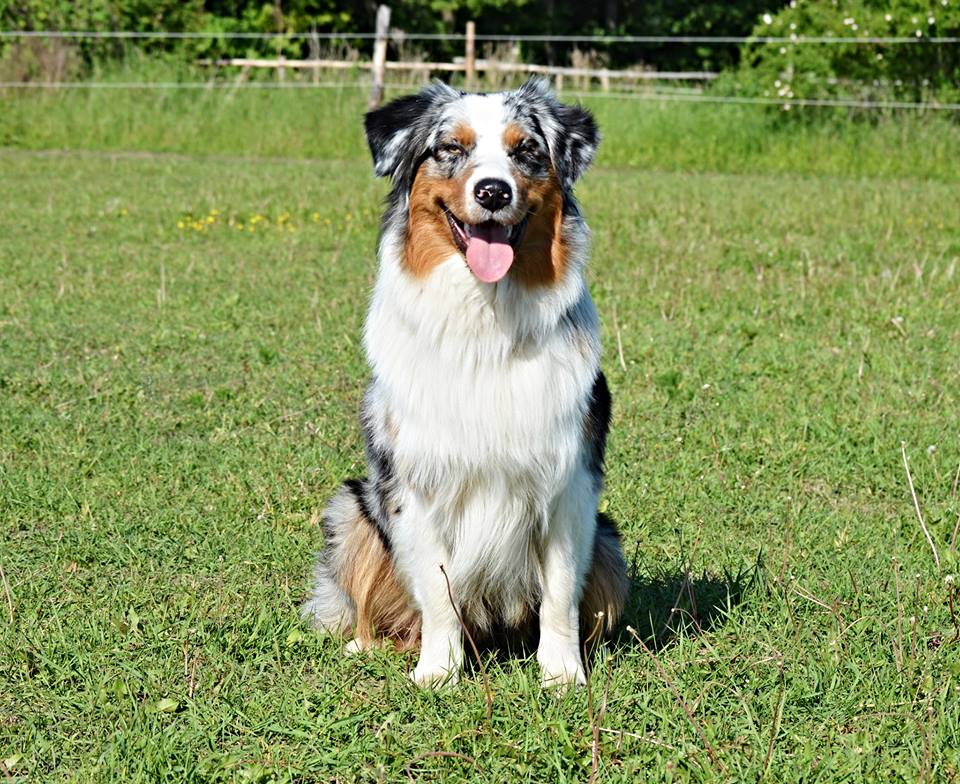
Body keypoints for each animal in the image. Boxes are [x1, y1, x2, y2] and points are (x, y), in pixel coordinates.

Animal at [302, 75, 632, 688]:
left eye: (527, 151)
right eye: (450, 148)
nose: (493, 192)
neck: (484, 321)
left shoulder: (570, 485)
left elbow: (559, 594)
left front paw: (561, 675)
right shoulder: (417, 484)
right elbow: (437, 590)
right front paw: (439, 672)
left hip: (609, 539)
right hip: (351, 508)